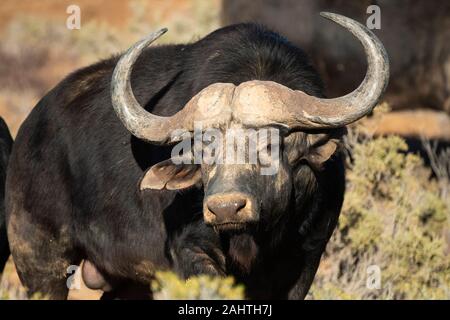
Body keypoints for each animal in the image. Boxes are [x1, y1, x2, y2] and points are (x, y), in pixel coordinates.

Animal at [1, 11, 388, 298]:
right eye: (203, 149)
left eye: (269, 145)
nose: (226, 208)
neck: (255, 237)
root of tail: (28, 132)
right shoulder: (192, 252)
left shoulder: (307, 256)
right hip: (39, 259)